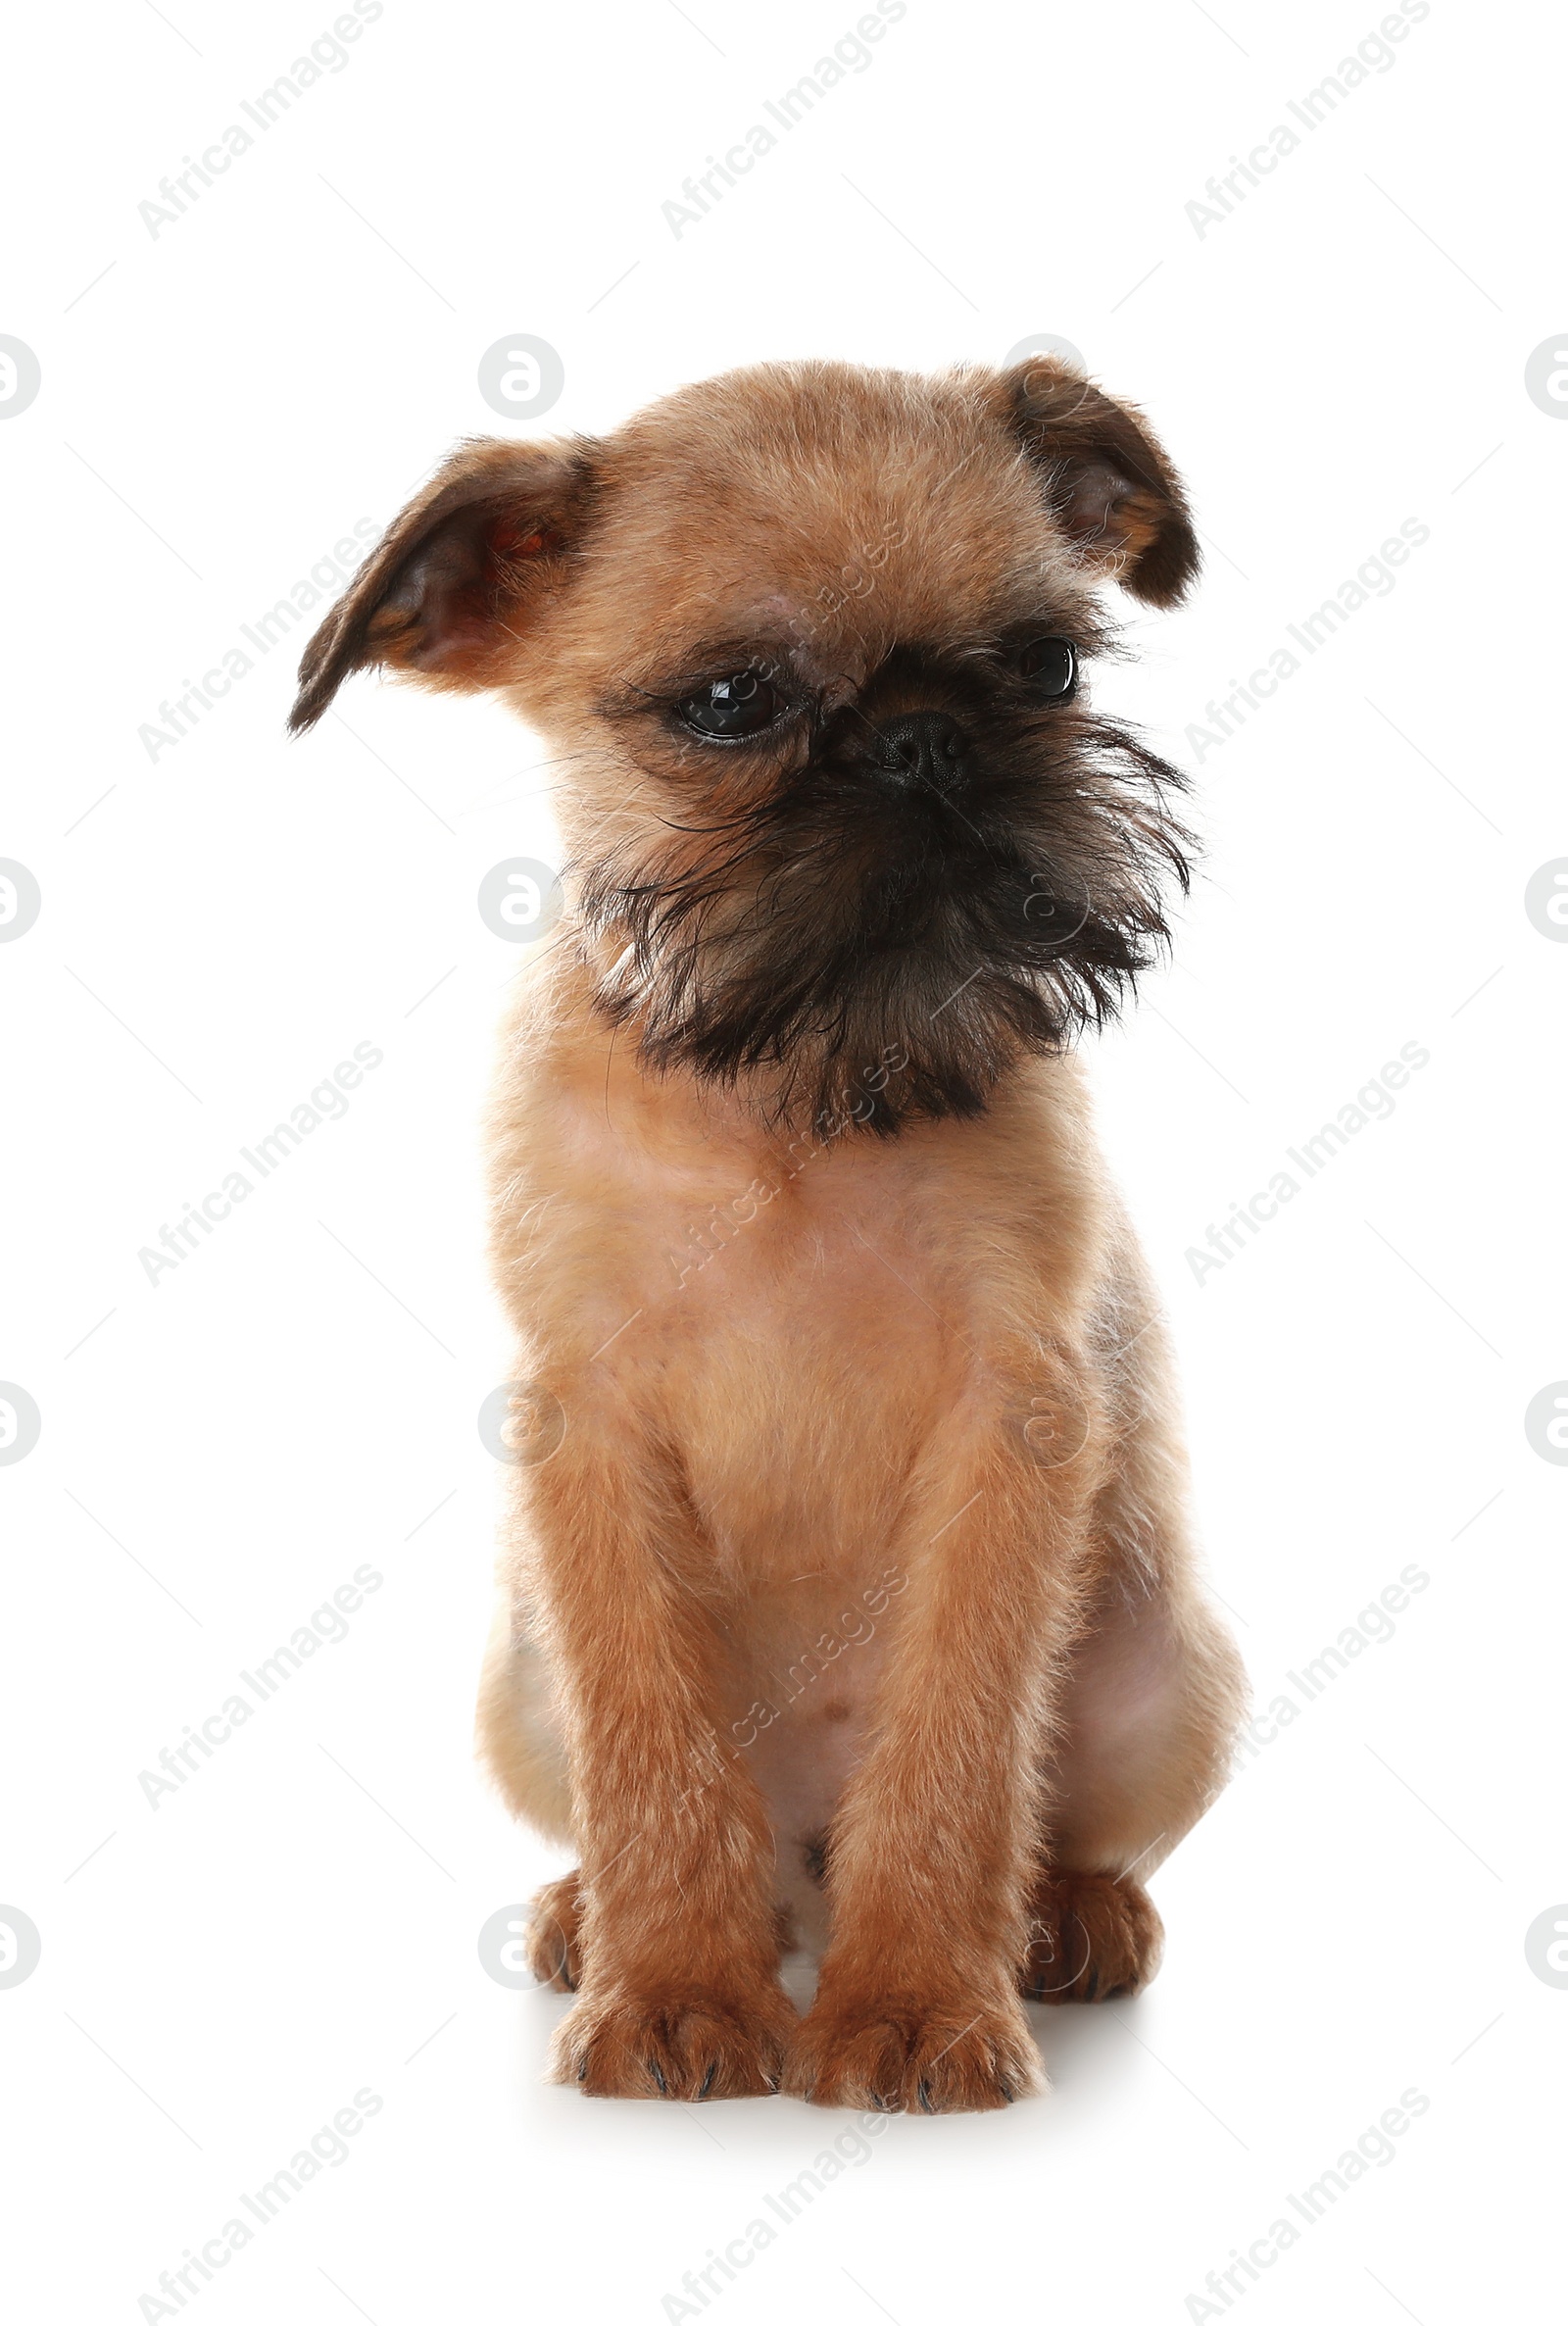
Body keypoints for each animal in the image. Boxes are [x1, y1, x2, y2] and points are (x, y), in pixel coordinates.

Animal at [289, 358, 1237, 2111]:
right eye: (732, 704)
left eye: (1045, 663)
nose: (926, 741)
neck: (794, 1105)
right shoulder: (583, 1436)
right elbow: (650, 1736)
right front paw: (670, 1991)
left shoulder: (1016, 1429)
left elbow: (956, 1747)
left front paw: (920, 2003)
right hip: (516, 1687)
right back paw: (592, 1915)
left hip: (1171, 1682)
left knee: (1055, 1822)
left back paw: (1066, 1920)